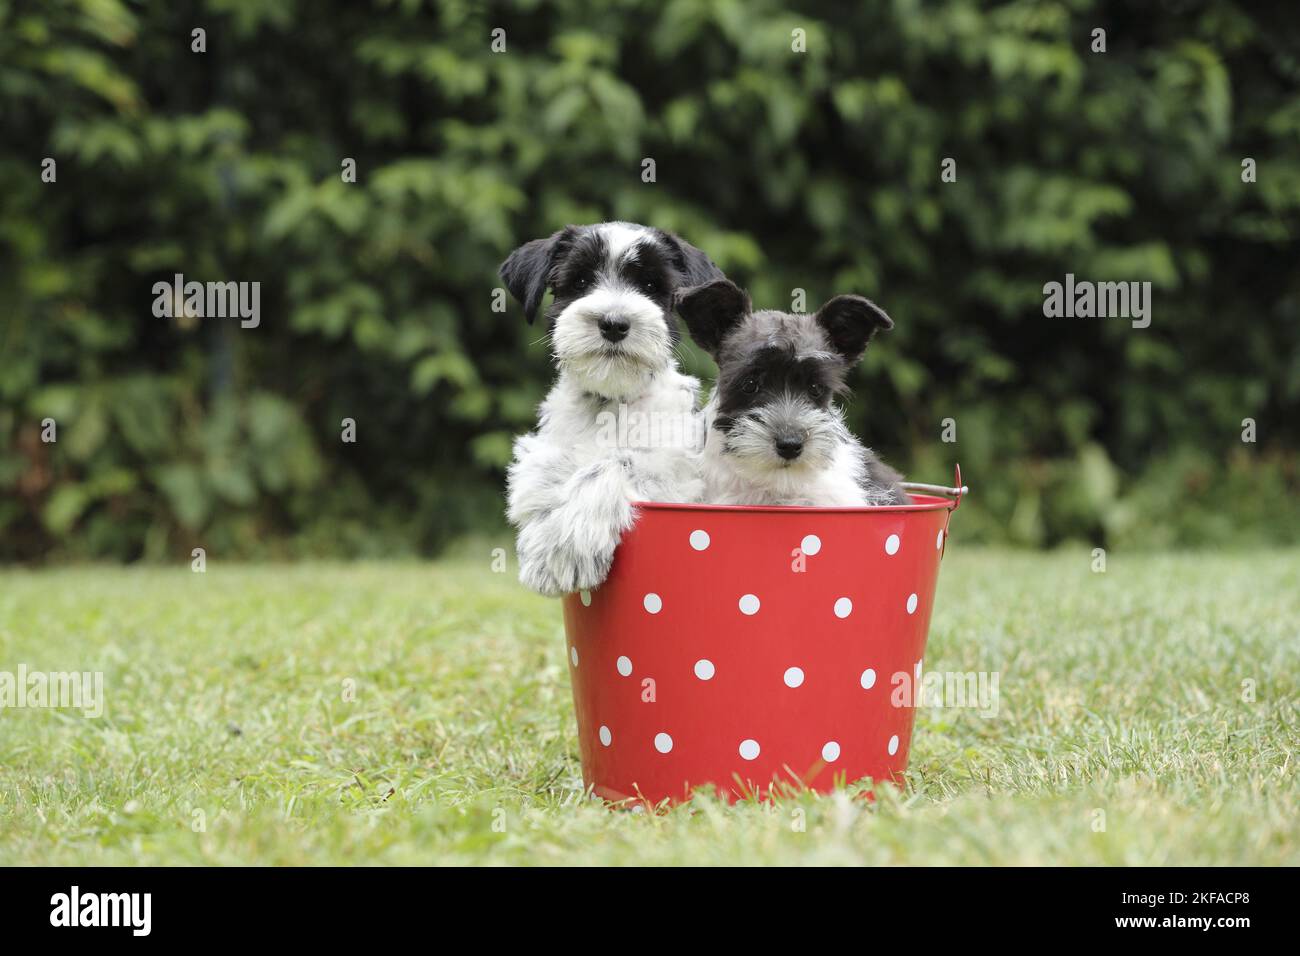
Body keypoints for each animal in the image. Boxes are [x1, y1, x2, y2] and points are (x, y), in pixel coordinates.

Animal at [499, 225, 722, 598]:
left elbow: (612, 463)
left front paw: (564, 548)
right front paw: (543, 545)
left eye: (651, 285)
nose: (614, 323)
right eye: (581, 281)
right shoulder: (545, 450)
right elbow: (541, 476)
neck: (611, 401)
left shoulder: (675, 478)